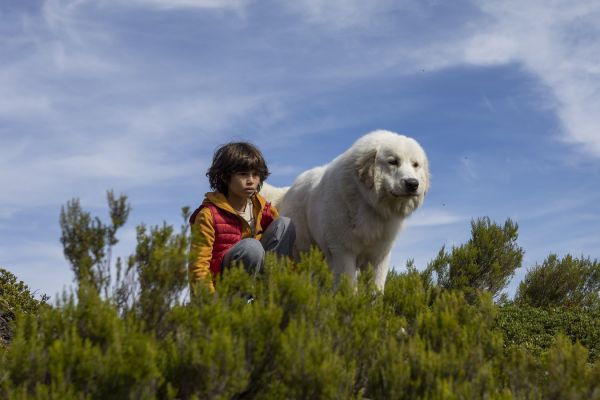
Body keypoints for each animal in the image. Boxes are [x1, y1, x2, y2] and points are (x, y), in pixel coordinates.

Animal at [260, 131, 428, 290]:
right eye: (393, 162)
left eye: (415, 165)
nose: (413, 183)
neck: (368, 203)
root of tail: (287, 191)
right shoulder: (343, 252)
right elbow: (349, 288)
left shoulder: (379, 256)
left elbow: (376, 289)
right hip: (302, 248)